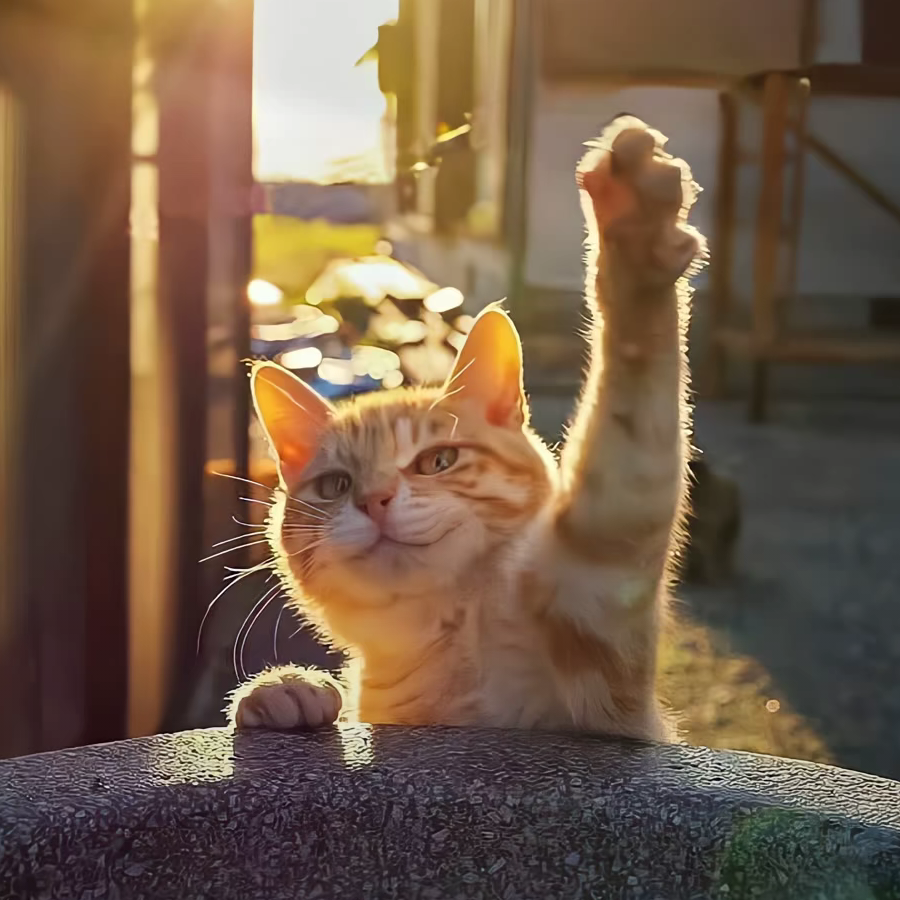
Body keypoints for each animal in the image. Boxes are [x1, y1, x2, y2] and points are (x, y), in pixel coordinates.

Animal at [225, 116, 704, 740]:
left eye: (438, 461)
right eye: (336, 486)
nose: (375, 500)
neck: (443, 650)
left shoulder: (598, 629)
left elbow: (628, 444)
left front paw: (634, 240)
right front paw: (282, 692)